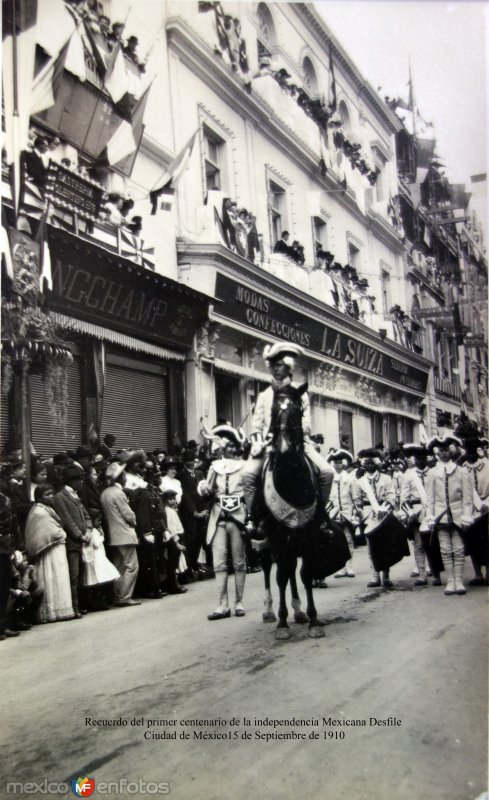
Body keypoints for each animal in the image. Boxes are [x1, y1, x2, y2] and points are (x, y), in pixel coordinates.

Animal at [254, 384, 338, 640]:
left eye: (299, 410)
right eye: (273, 411)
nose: (284, 448)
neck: (291, 477)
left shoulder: (308, 534)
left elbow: (306, 573)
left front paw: (313, 619)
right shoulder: (277, 536)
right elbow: (281, 575)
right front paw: (282, 623)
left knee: (291, 569)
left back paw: (299, 611)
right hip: (265, 541)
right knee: (271, 568)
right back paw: (270, 611)